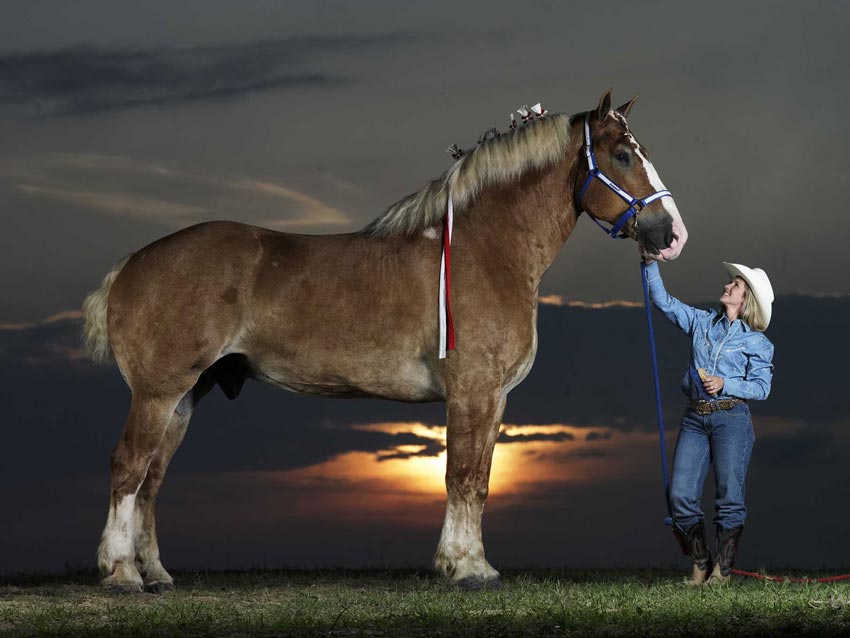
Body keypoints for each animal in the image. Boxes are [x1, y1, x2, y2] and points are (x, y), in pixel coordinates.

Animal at [83, 90, 684, 596]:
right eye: (623, 155)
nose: (672, 235)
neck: (486, 249)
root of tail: (133, 263)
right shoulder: (472, 392)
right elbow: (461, 476)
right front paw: (462, 568)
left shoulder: (495, 400)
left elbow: (481, 480)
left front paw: (477, 565)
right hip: (159, 393)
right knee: (128, 466)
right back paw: (121, 573)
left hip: (185, 397)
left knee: (152, 479)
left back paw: (156, 574)